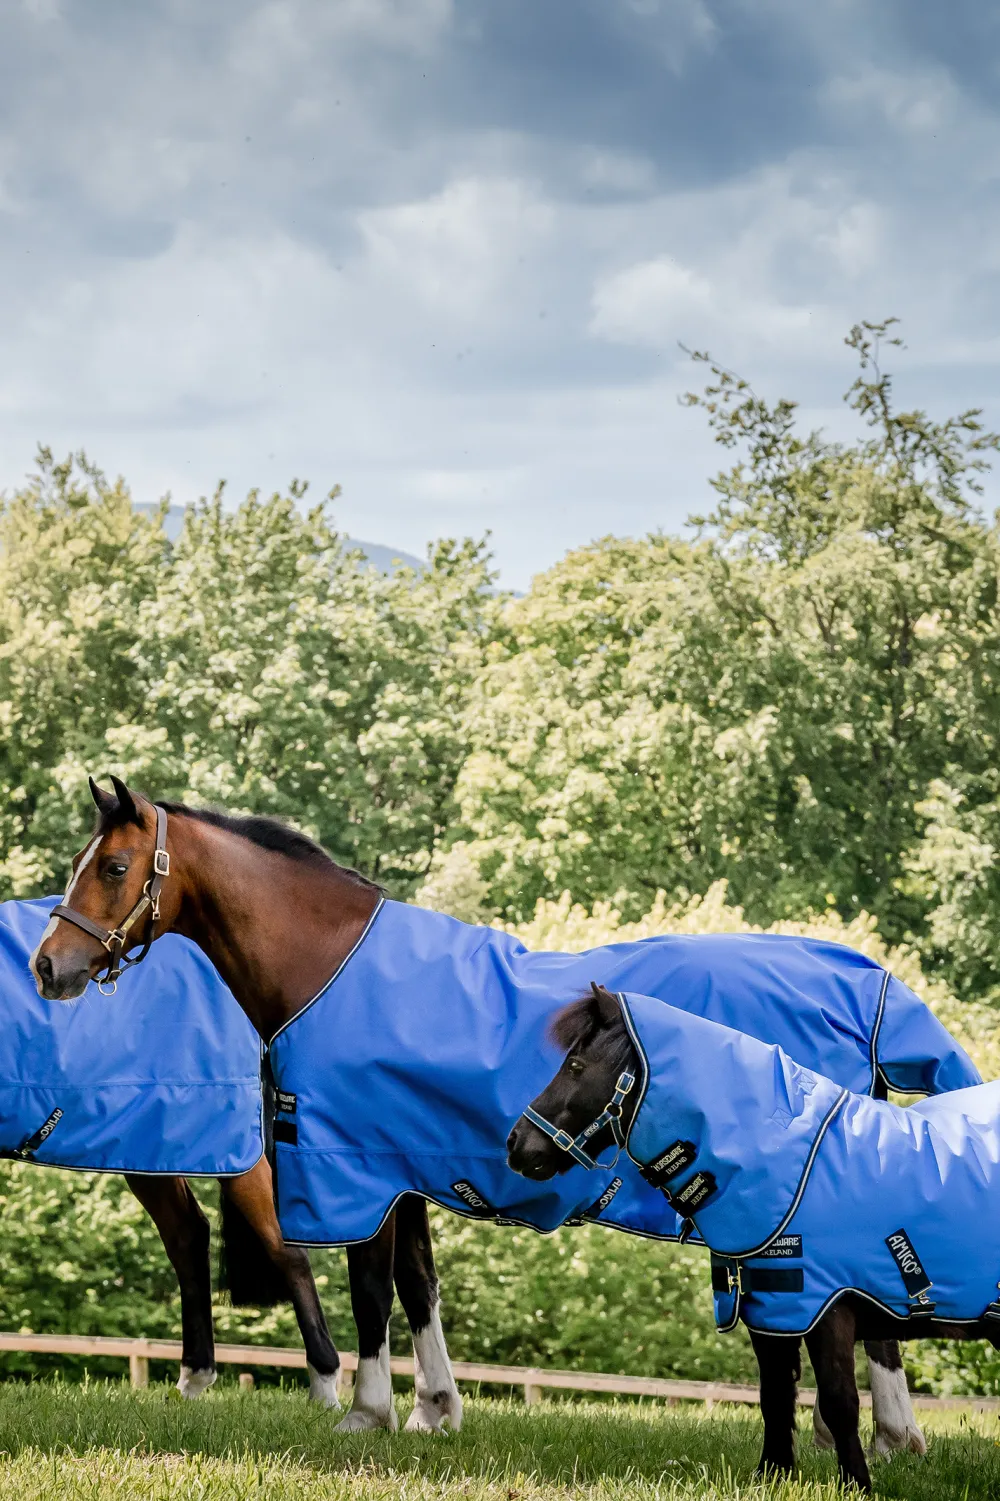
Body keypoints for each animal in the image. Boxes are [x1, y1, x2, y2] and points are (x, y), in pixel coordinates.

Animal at [29, 775, 978, 1441]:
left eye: (113, 867)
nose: (48, 965)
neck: (332, 964)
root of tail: (866, 981)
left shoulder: (353, 1161)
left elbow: (369, 1289)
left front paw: (367, 1412)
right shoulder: (401, 1166)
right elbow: (417, 1286)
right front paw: (435, 1408)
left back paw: (891, 1434)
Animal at [509, 983, 1000, 1493]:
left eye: (575, 1066)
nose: (517, 1144)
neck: (797, 1167)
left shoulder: (827, 1309)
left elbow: (839, 1402)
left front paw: (856, 1486)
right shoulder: (772, 1311)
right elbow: (775, 1397)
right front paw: (774, 1475)